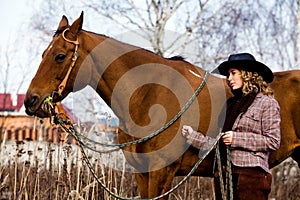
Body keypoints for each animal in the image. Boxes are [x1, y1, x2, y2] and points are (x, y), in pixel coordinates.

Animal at [24, 12, 298, 198]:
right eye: (43, 54)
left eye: (60, 56)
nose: (31, 100)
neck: (148, 95)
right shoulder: (142, 172)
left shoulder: (161, 171)